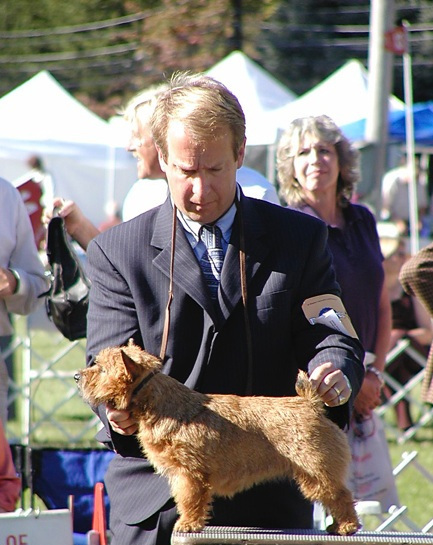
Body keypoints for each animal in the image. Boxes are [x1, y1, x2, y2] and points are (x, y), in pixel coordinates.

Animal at [76, 338, 360, 532]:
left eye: (102, 369)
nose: (77, 375)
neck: (161, 403)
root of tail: (310, 403)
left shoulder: (189, 474)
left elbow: (189, 500)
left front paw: (188, 524)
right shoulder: (182, 474)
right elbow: (186, 500)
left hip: (317, 471)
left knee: (341, 496)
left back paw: (346, 527)